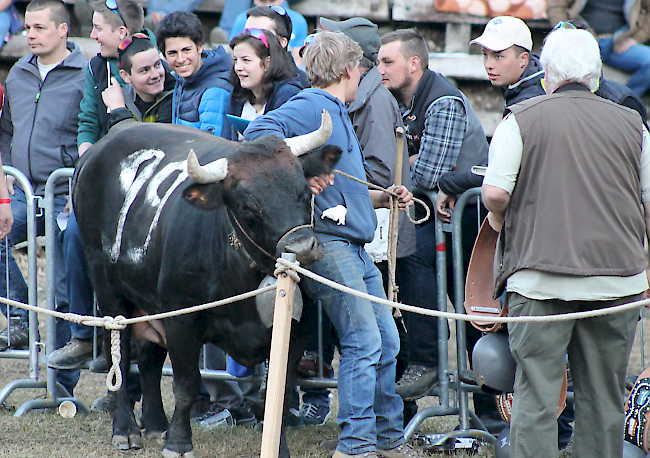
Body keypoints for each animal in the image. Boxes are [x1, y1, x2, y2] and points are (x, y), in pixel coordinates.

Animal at [74, 112, 340, 458]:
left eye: (305, 192)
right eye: (248, 208)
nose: (303, 247)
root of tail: (95, 152)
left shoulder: (299, 329)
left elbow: (279, 393)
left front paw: (278, 449)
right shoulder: (181, 318)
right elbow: (186, 383)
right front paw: (178, 443)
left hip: (150, 300)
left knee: (148, 358)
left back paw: (156, 424)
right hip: (108, 291)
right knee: (118, 357)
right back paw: (126, 430)